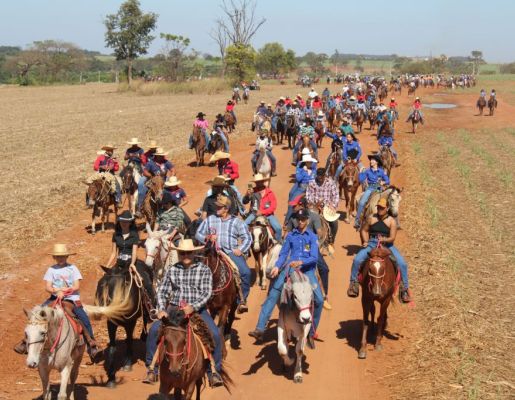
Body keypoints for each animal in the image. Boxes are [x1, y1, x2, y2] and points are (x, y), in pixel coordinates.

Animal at [95, 260, 155, 388]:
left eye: (124, 284)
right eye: (107, 284)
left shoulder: (131, 322)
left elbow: (129, 341)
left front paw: (127, 365)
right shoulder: (111, 323)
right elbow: (112, 347)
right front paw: (111, 378)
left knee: (145, 317)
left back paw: (144, 336)